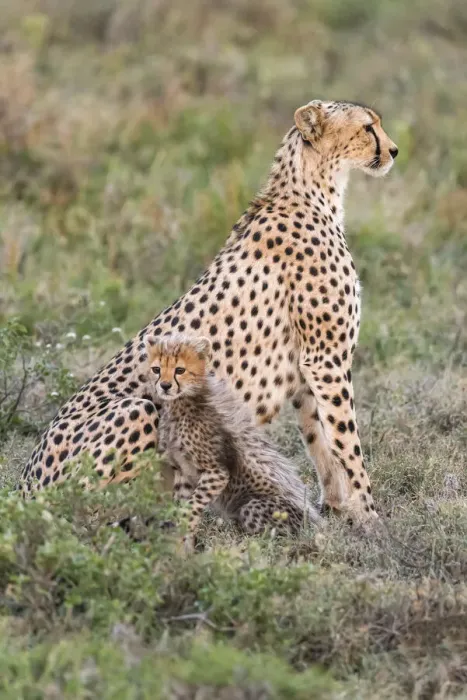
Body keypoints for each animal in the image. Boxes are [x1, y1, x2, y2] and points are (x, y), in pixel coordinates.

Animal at [20, 98, 398, 527]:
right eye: (368, 127)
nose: (394, 150)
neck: (312, 189)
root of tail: (24, 486)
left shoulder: (308, 368)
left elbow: (321, 441)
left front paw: (335, 511)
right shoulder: (326, 359)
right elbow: (348, 444)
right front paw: (370, 518)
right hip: (138, 409)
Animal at [145, 332, 321, 550]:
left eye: (180, 370)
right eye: (156, 369)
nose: (165, 386)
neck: (181, 403)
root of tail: (313, 522)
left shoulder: (216, 472)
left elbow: (193, 505)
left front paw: (184, 538)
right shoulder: (184, 471)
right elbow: (183, 504)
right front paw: (180, 540)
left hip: (254, 507)